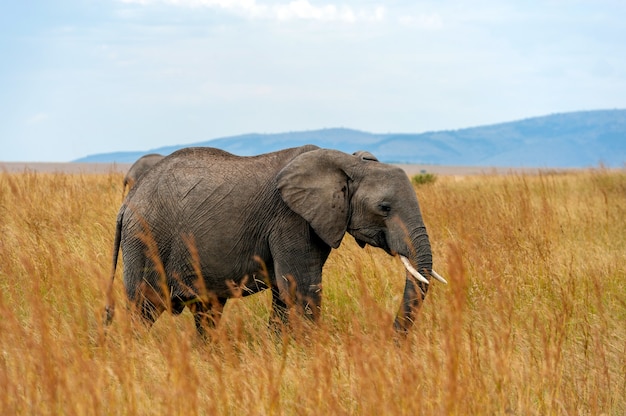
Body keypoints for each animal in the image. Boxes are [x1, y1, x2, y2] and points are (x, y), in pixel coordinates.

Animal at [106, 145, 444, 336]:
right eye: (384, 208)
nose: (391, 337)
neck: (349, 163)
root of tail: (126, 204)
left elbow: (286, 292)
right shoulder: (289, 218)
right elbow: (300, 285)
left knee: (206, 311)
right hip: (146, 240)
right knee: (144, 307)